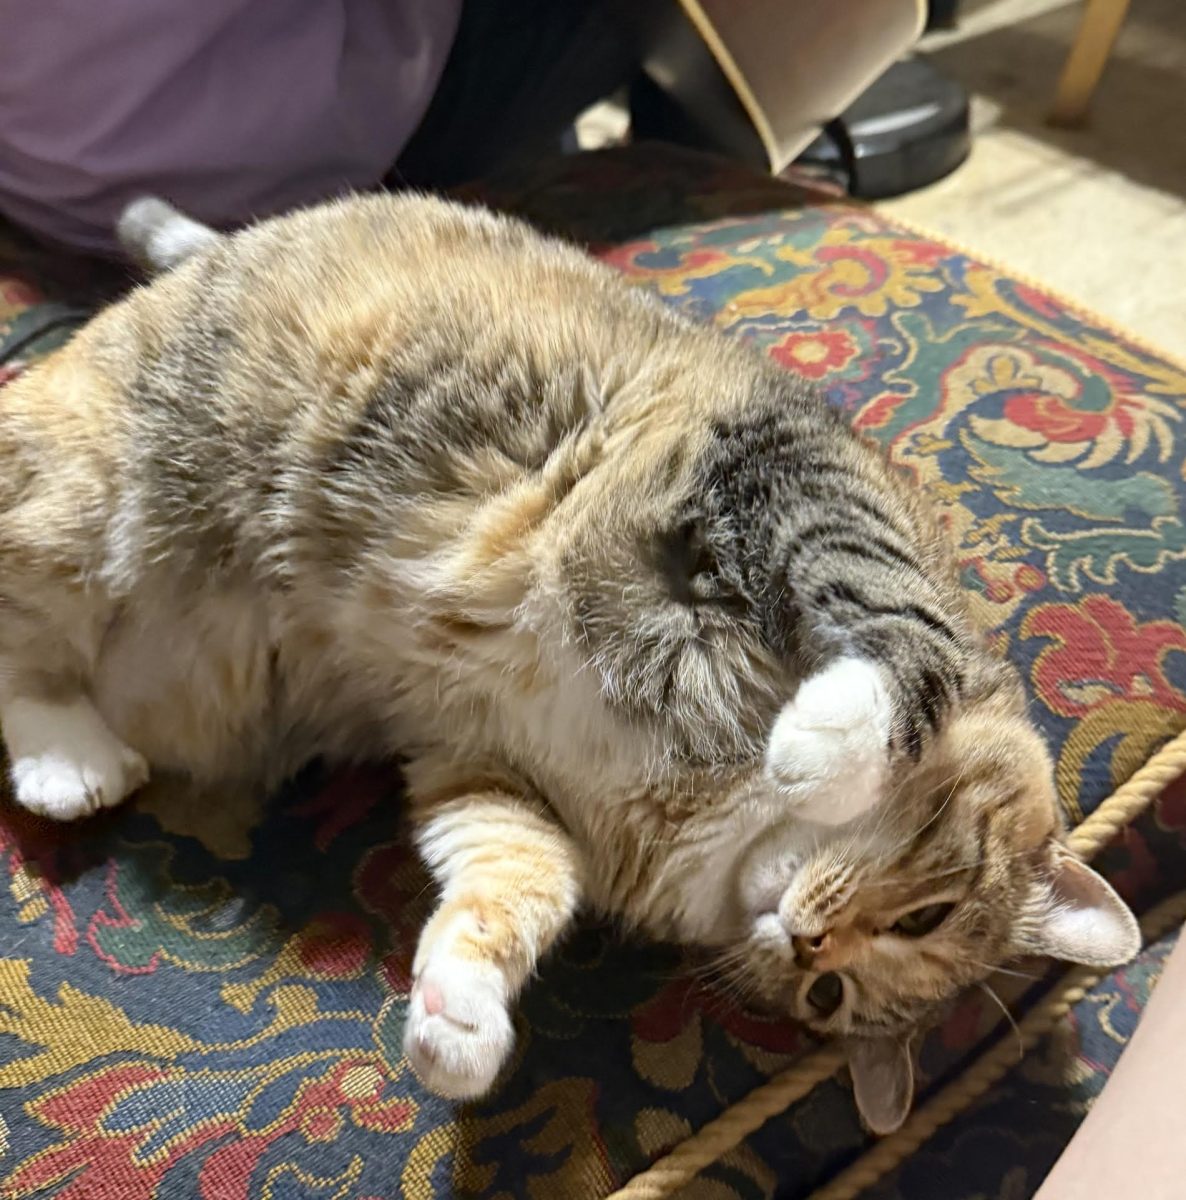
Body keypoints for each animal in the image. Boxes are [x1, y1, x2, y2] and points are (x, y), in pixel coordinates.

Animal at [0, 192, 1137, 1128]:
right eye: (926, 914)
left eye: (828, 998)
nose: (807, 943)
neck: (709, 801)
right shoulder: (768, 463)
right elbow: (885, 607)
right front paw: (829, 742)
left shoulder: (482, 761)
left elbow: (516, 882)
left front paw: (457, 1019)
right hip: (85, 485)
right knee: (28, 627)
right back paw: (71, 754)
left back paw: (70, 763)